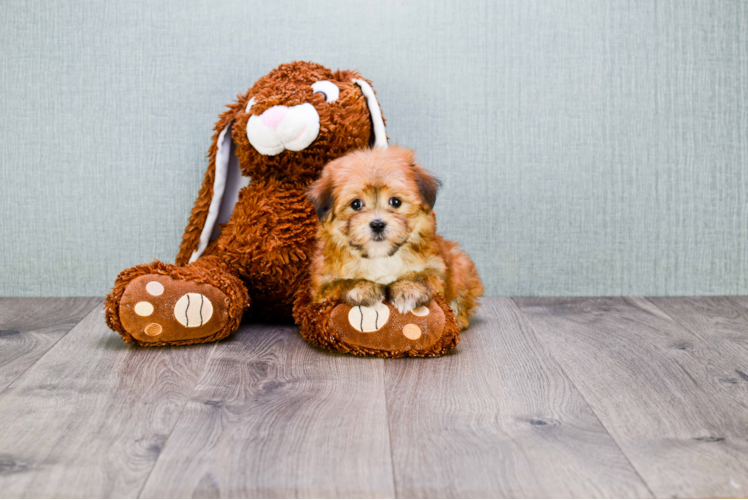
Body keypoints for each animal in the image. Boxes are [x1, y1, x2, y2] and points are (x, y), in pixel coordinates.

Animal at [306, 146, 482, 332]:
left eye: (395, 202)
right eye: (356, 204)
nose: (377, 224)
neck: (380, 256)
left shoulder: (436, 268)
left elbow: (422, 276)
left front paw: (409, 291)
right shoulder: (322, 285)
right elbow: (340, 284)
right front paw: (362, 288)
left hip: (461, 264)